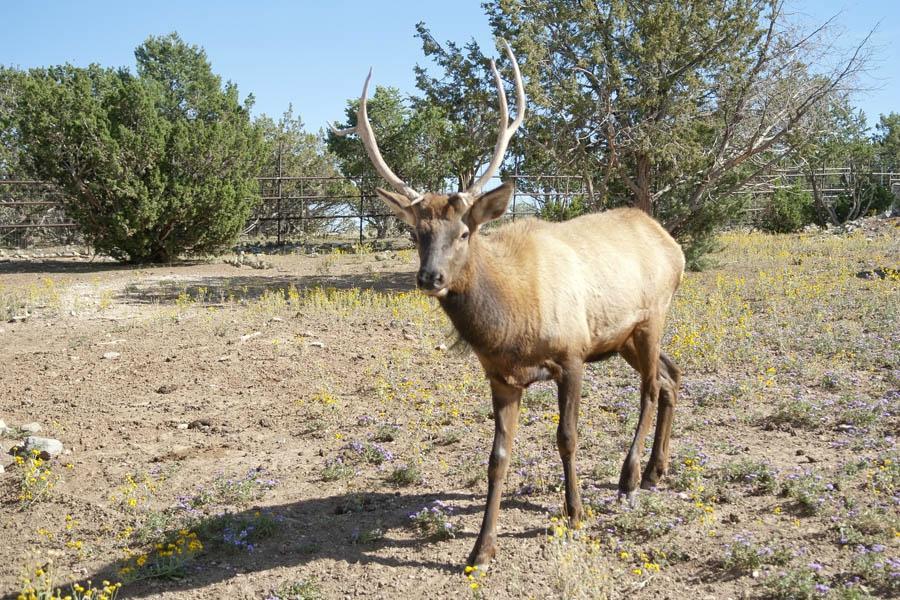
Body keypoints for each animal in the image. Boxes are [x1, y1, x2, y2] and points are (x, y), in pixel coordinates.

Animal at [330, 42, 684, 568]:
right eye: (416, 233)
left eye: (464, 232)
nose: (430, 278)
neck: (513, 324)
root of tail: (672, 245)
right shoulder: (499, 375)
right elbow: (497, 458)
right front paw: (482, 548)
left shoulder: (572, 354)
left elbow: (567, 437)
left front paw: (575, 513)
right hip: (621, 337)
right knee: (670, 375)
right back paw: (658, 469)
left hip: (652, 315)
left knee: (649, 388)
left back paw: (630, 477)